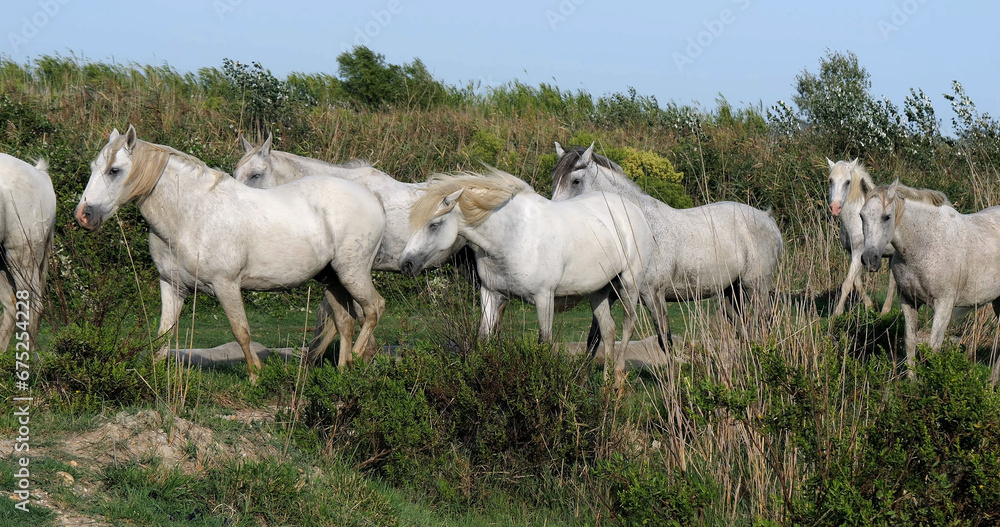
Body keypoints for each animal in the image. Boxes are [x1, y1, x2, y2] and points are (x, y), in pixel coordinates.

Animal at [74, 126, 386, 381]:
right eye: (93, 167)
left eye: (114, 170)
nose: (84, 215)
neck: (191, 216)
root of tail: (372, 197)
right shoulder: (172, 286)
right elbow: (164, 334)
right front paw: (152, 376)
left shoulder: (226, 285)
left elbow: (241, 331)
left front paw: (255, 376)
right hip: (331, 278)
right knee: (345, 321)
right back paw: (344, 370)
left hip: (352, 272)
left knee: (374, 309)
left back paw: (357, 359)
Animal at [398, 168, 657, 387]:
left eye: (434, 224)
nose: (405, 263)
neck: (512, 237)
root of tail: (632, 209)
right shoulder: (491, 294)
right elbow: (483, 339)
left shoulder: (544, 298)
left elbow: (544, 342)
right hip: (597, 290)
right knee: (608, 329)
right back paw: (604, 386)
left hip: (629, 284)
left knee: (627, 325)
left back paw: (618, 380)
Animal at [551, 143, 783, 347]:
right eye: (554, 179)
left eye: (576, 181)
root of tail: (767, 219)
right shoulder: (610, 295)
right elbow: (594, 340)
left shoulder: (653, 295)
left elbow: (665, 340)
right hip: (730, 292)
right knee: (744, 328)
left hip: (756, 287)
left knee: (764, 323)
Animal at [827, 158, 895, 317]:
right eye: (830, 180)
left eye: (847, 182)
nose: (835, 207)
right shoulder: (853, 254)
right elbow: (857, 282)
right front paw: (870, 306)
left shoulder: (858, 254)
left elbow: (847, 284)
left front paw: (837, 313)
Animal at [860, 180, 1000, 379]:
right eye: (861, 216)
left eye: (887, 217)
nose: (869, 260)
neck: (925, 243)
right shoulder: (908, 301)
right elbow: (910, 341)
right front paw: (912, 381)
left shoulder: (944, 305)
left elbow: (934, 347)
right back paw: (992, 382)